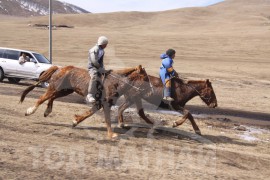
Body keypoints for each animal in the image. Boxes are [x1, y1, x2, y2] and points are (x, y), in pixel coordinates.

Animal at [20, 65, 153, 139]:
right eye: (146, 78)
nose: (151, 92)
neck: (116, 82)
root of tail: (59, 68)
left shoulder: (99, 104)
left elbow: (89, 113)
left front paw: (75, 121)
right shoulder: (105, 104)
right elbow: (107, 120)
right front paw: (112, 135)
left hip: (65, 91)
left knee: (51, 98)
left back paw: (47, 111)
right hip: (54, 88)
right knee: (42, 98)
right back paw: (29, 111)